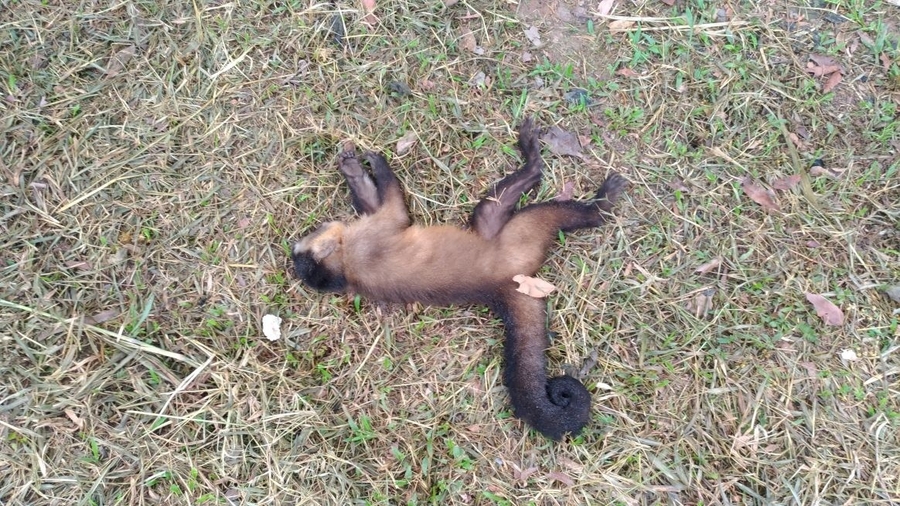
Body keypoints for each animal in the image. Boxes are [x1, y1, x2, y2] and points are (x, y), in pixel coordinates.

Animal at [292, 118, 626, 440]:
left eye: (310, 235)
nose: (299, 241)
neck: (345, 265)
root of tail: (501, 287)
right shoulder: (368, 239)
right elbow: (396, 212)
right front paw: (378, 164)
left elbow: (375, 204)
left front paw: (354, 168)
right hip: (520, 238)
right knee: (509, 212)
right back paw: (595, 204)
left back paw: (535, 160)